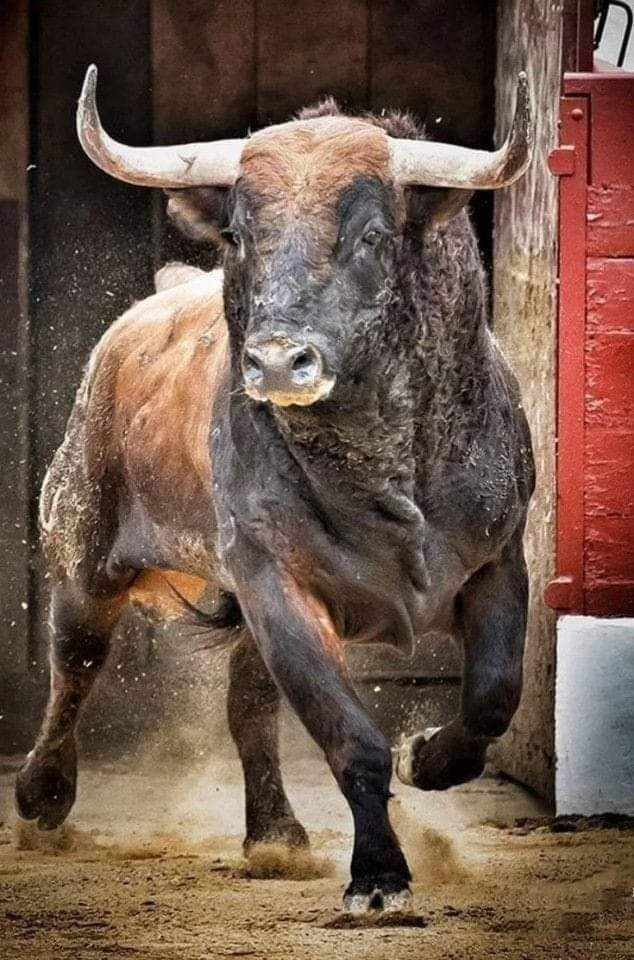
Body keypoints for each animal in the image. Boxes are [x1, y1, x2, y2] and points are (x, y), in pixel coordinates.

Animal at [16, 67, 532, 916]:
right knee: (77, 660)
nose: (278, 361)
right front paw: (379, 876)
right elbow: (349, 735)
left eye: (372, 235)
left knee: (247, 702)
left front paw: (426, 756)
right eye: (240, 235)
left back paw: (277, 836)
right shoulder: (276, 583)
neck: (385, 470)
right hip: (88, 550)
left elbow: (493, 695)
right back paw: (41, 795)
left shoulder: (498, 560)